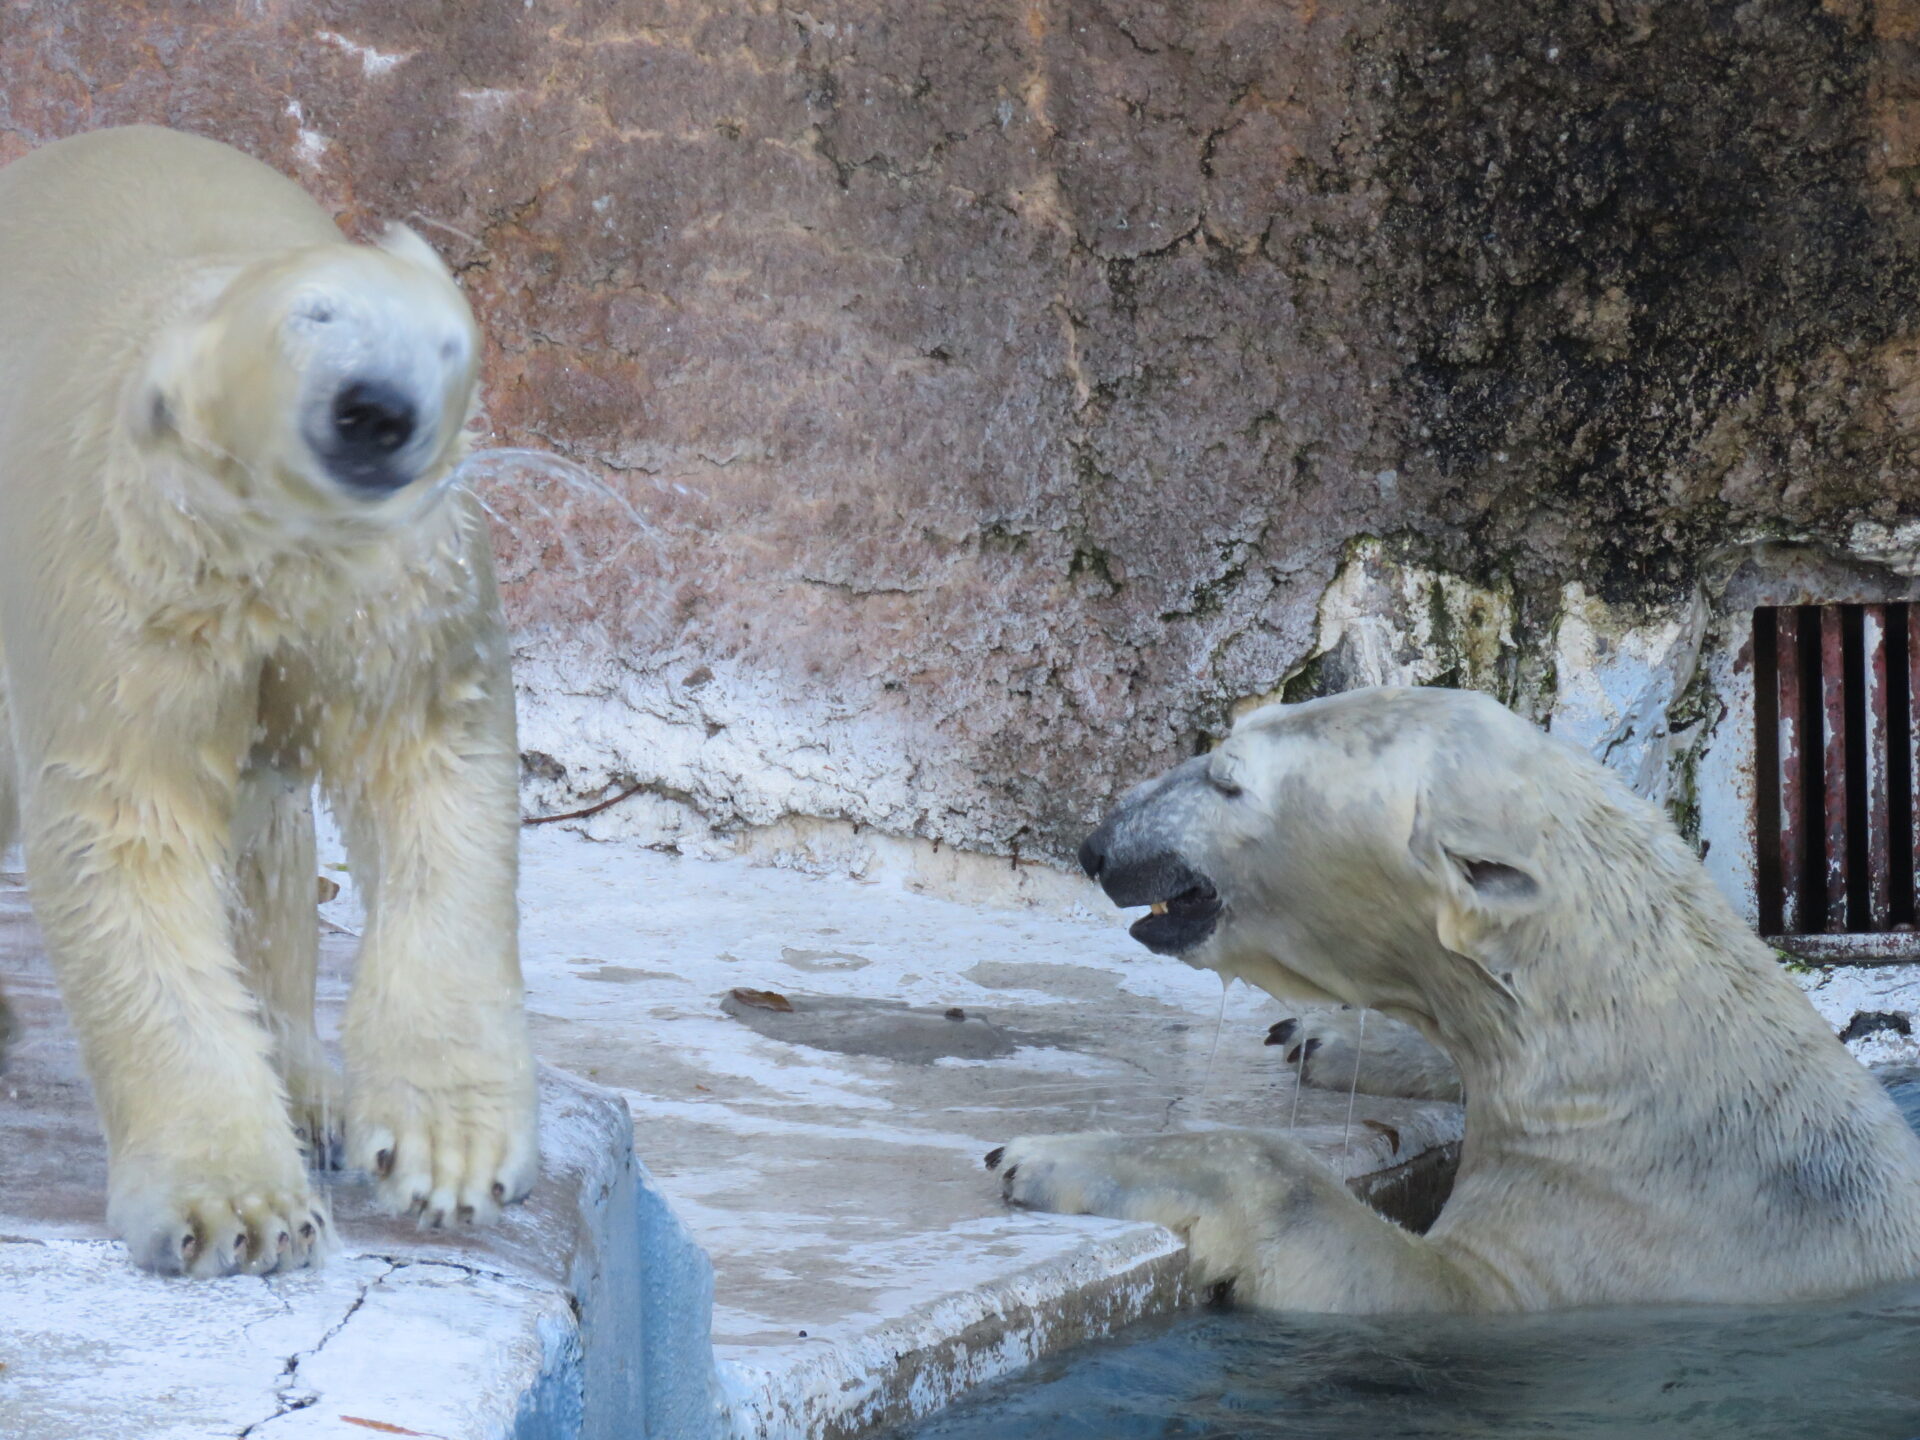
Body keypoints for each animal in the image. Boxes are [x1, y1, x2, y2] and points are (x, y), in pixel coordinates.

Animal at [0, 123, 541, 1274]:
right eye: (312, 319)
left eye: (444, 344)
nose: (375, 411)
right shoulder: (128, 588)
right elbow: (131, 831)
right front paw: (235, 1211)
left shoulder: (400, 601)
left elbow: (433, 784)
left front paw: (445, 1152)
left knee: (268, 838)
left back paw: (310, 1092)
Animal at [990, 695, 1920, 1313]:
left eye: (1229, 781)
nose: (1098, 846)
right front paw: (1324, 1036)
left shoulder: (1621, 1243)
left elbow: (1417, 1288)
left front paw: (1046, 1154)